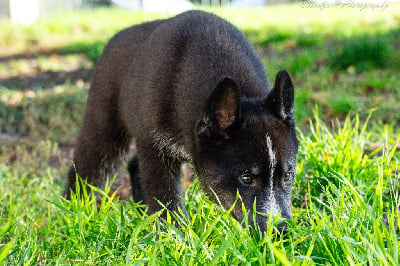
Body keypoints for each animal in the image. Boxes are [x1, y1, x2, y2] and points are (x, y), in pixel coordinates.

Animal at [66, 10, 296, 231]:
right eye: (246, 178)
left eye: (287, 176)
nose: (281, 231)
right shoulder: (154, 149)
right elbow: (165, 201)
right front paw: (173, 237)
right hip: (105, 130)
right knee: (85, 168)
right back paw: (73, 212)